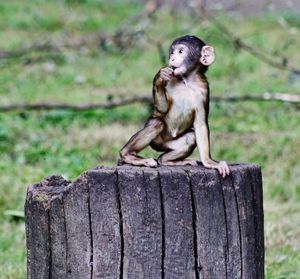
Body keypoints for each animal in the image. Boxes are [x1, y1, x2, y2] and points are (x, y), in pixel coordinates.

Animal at [119, 35, 230, 178]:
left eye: (181, 51)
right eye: (172, 52)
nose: (171, 58)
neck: (187, 81)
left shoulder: (204, 89)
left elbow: (200, 124)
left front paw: (209, 162)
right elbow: (162, 109)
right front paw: (159, 77)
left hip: (170, 144)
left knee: (190, 137)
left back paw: (167, 161)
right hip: (157, 141)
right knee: (156, 123)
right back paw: (128, 155)